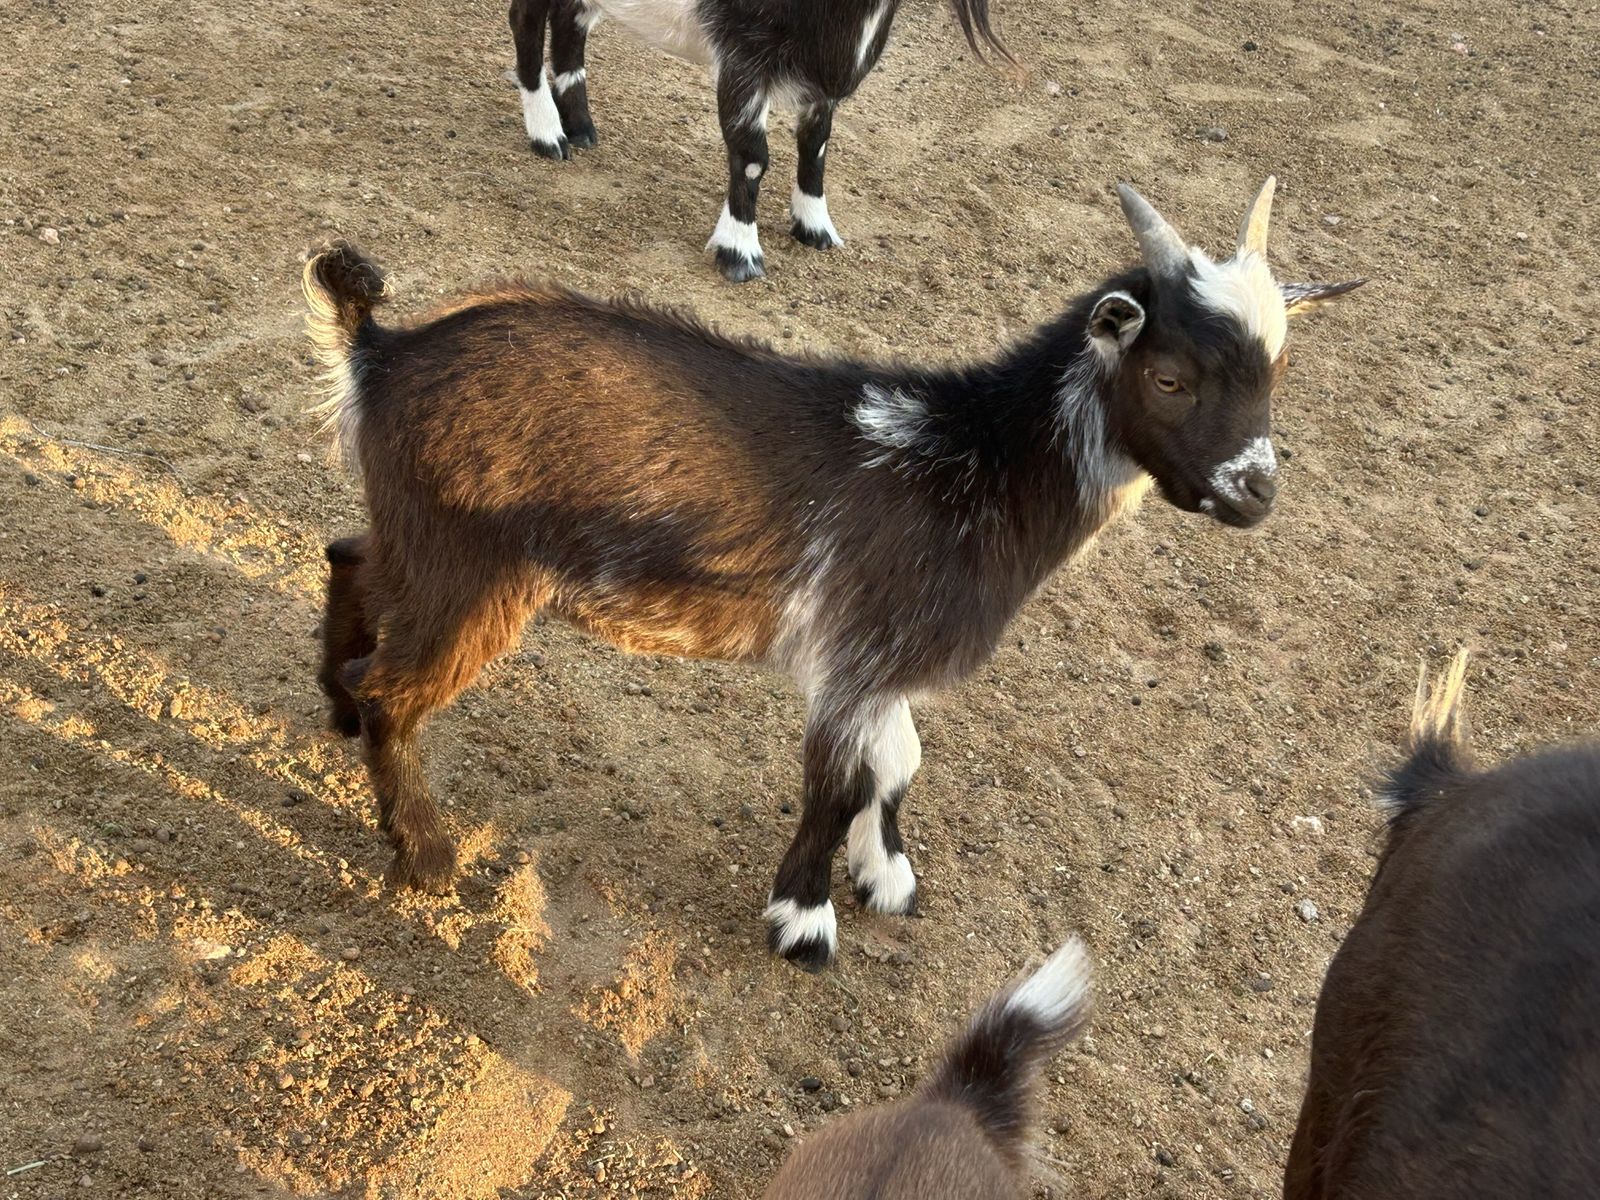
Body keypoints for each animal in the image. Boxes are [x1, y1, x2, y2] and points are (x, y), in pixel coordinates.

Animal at [302, 178, 1362, 969]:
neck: (972, 464)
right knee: (397, 685)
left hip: (419, 539)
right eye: (1171, 377)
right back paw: (426, 852)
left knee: (348, 557)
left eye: (1276, 372)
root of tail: (379, 353)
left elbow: (899, 764)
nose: (1255, 492)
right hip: (474, 570)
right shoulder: (857, 656)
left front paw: (886, 877)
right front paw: (805, 922)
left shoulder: (879, 667)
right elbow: (837, 782)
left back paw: (338, 712)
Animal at [508, 0, 1011, 281]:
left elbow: (816, 145)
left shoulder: (821, 83)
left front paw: (815, 228)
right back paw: (548, 134)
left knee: (569, 21)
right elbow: (752, 155)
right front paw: (740, 253)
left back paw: (580, 127)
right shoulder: (744, 58)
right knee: (526, 21)